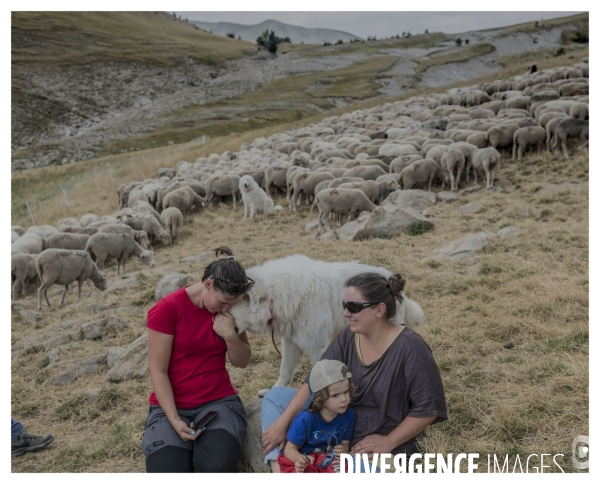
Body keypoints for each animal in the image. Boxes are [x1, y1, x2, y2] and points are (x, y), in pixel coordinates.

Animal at [227, 255, 424, 388]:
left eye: (226, 310)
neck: (281, 296)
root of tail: (389, 278)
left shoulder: (317, 347)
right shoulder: (290, 341)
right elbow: (285, 370)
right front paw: (273, 391)